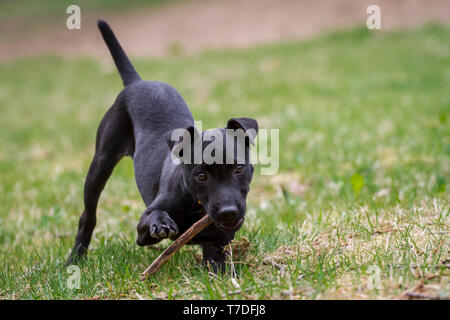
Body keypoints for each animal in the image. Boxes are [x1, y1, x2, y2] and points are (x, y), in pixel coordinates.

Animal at [66, 20, 256, 272]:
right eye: (201, 175)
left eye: (239, 169)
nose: (228, 212)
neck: (197, 207)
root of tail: (137, 82)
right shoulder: (142, 229)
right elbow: (152, 219)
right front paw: (161, 222)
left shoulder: (217, 247)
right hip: (101, 163)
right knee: (88, 216)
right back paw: (75, 258)